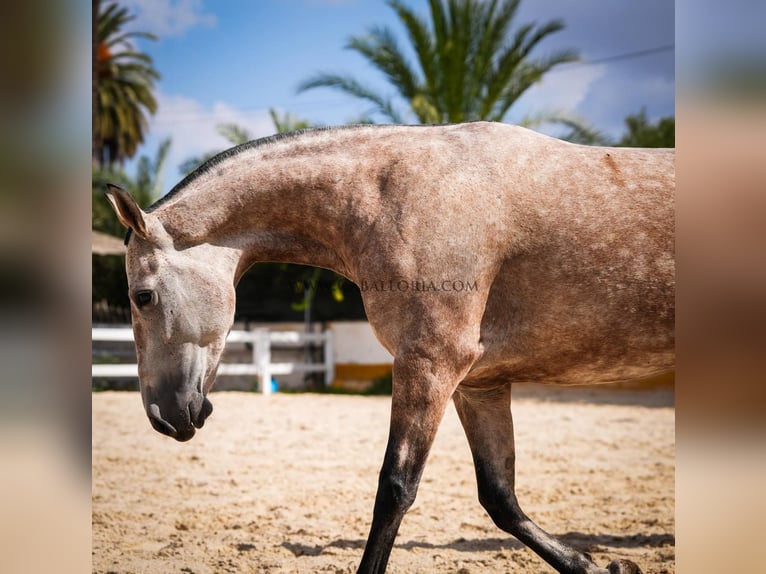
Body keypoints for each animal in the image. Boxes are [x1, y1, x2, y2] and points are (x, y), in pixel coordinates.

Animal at [105, 122, 676, 574]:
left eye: (141, 296)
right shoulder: (478, 384)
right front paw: (597, 566)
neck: (388, 197)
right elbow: (500, 496)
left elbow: (396, 488)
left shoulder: (429, 366)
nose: (162, 416)